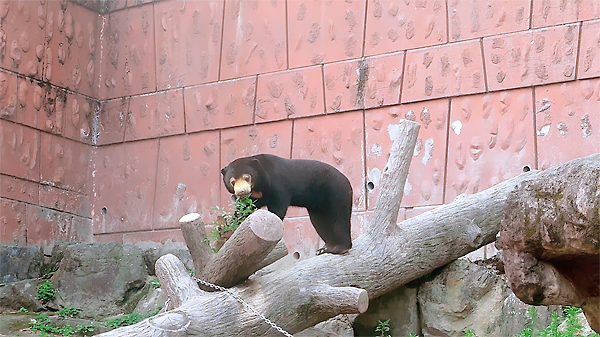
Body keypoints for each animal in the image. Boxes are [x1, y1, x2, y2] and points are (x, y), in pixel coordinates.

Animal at [219, 154, 352, 253]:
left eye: (247, 177)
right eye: (232, 181)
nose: (241, 191)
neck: (259, 187)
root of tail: (347, 181)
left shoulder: (278, 184)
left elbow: (278, 206)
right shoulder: (254, 197)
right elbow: (245, 209)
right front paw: (225, 227)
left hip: (336, 192)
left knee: (340, 219)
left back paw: (340, 247)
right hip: (319, 207)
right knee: (321, 223)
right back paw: (326, 248)